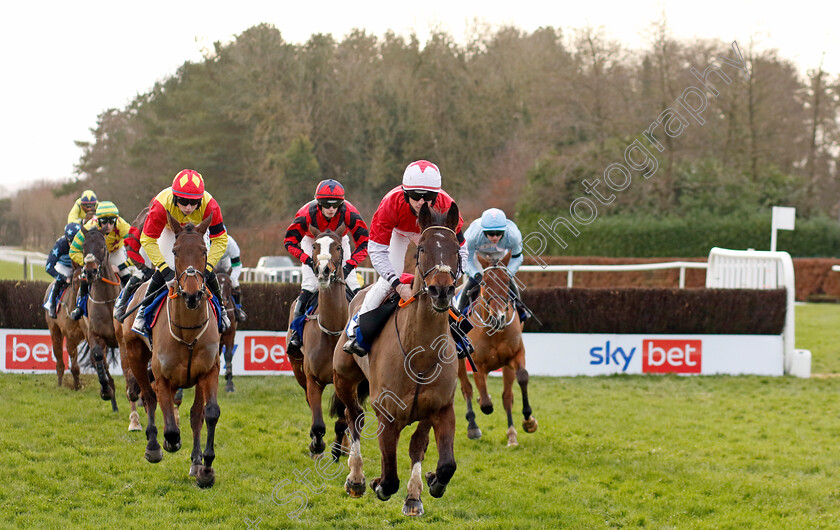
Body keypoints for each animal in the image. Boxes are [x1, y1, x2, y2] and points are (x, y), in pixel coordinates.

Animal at [115, 211, 220, 486]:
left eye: (204, 251)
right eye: (175, 251)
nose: (192, 295)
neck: (188, 332)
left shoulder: (208, 372)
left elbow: (208, 413)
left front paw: (206, 468)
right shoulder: (162, 376)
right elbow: (169, 424)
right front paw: (168, 442)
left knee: (194, 414)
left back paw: (195, 462)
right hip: (134, 354)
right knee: (148, 397)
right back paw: (153, 445)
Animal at [288, 229, 352, 456]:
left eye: (338, 247)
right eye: (315, 246)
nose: (324, 270)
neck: (332, 332)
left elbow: (342, 420)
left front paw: (338, 449)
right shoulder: (312, 378)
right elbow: (317, 424)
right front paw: (316, 445)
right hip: (297, 368)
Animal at [334, 202, 462, 516]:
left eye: (456, 248)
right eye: (422, 248)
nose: (442, 290)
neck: (421, 356)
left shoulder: (440, 408)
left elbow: (439, 459)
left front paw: (423, 489)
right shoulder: (387, 414)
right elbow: (390, 476)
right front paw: (377, 482)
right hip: (343, 378)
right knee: (354, 417)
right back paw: (356, 478)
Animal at [452, 252, 540, 446]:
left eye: (506, 281)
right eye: (484, 282)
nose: (498, 317)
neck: (495, 332)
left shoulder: (515, 355)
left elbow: (520, 380)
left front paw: (528, 421)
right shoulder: (477, 364)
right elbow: (485, 404)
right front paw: (481, 404)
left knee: (506, 396)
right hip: (459, 360)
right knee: (467, 389)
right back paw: (473, 426)